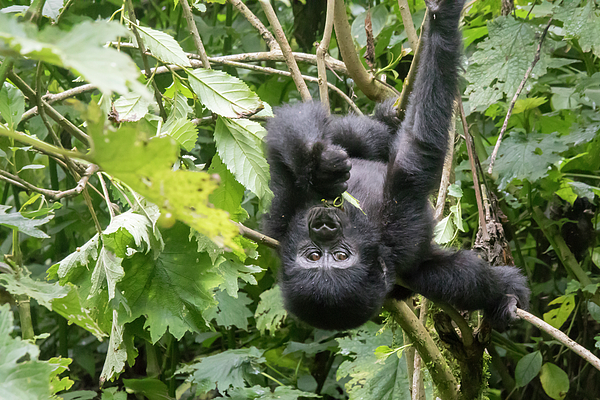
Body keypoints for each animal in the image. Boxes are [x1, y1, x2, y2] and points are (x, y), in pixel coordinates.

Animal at [262, 0, 528, 332]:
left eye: (337, 255)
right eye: (314, 257)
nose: (323, 226)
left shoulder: (278, 222)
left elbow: (289, 129)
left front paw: (320, 167)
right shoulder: (403, 244)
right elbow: (417, 155)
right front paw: (442, 23)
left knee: (352, 134)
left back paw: (381, 119)